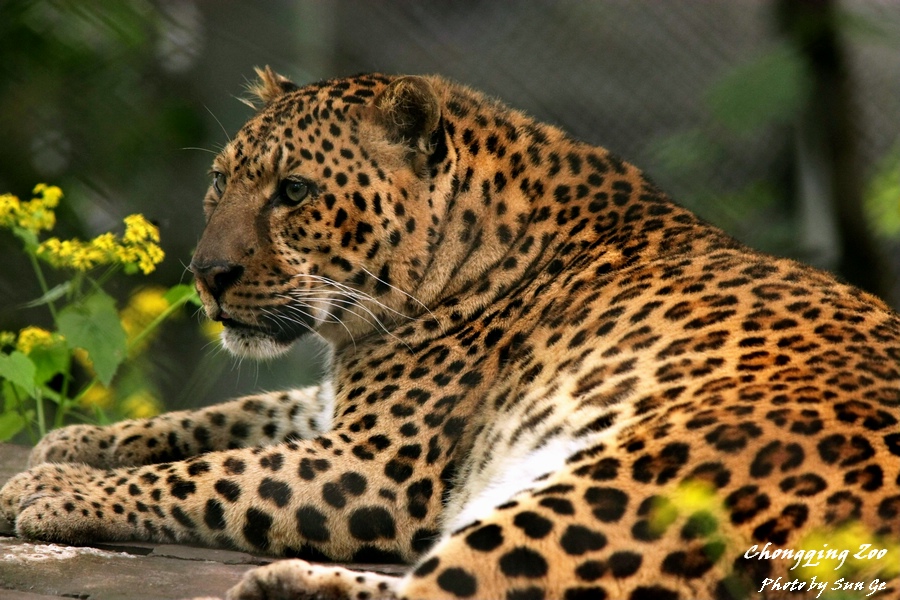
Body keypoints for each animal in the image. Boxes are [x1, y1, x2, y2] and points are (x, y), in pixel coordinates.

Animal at [2, 68, 900, 600]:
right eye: (220, 181)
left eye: (294, 192)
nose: (206, 274)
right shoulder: (337, 411)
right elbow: (214, 421)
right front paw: (72, 445)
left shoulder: (377, 465)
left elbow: (209, 475)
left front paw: (54, 490)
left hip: (624, 483)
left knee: (458, 589)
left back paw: (292, 583)